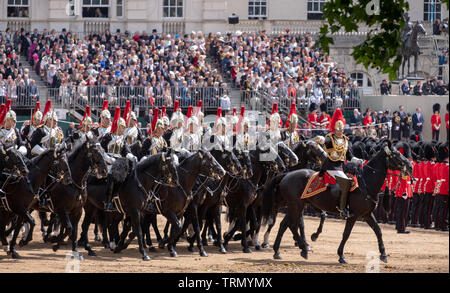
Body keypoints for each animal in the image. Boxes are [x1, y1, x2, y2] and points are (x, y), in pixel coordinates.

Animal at [262, 140, 414, 262]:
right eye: (396, 155)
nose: (410, 166)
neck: (366, 183)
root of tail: (286, 174)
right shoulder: (353, 215)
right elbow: (346, 234)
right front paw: (341, 255)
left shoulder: (367, 214)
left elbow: (378, 231)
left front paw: (383, 254)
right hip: (296, 206)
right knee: (292, 225)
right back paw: (302, 249)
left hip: (295, 206)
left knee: (285, 224)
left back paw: (278, 251)